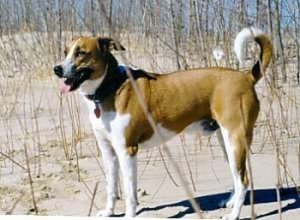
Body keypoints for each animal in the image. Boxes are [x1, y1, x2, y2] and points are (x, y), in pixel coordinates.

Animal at [53, 27, 272, 220]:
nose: (56, 69)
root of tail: (246, 76)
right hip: (226, 141)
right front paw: (108, 212)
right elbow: (111, 187)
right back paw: (232, 202)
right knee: (237, 177)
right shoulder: (108, 151)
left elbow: (129, 192)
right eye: (65, 52)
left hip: (235, 139)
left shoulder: (127, 150)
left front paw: (129, 215)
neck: (110, 86)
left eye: (81, 53)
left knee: (243, 180)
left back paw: (234, 214)